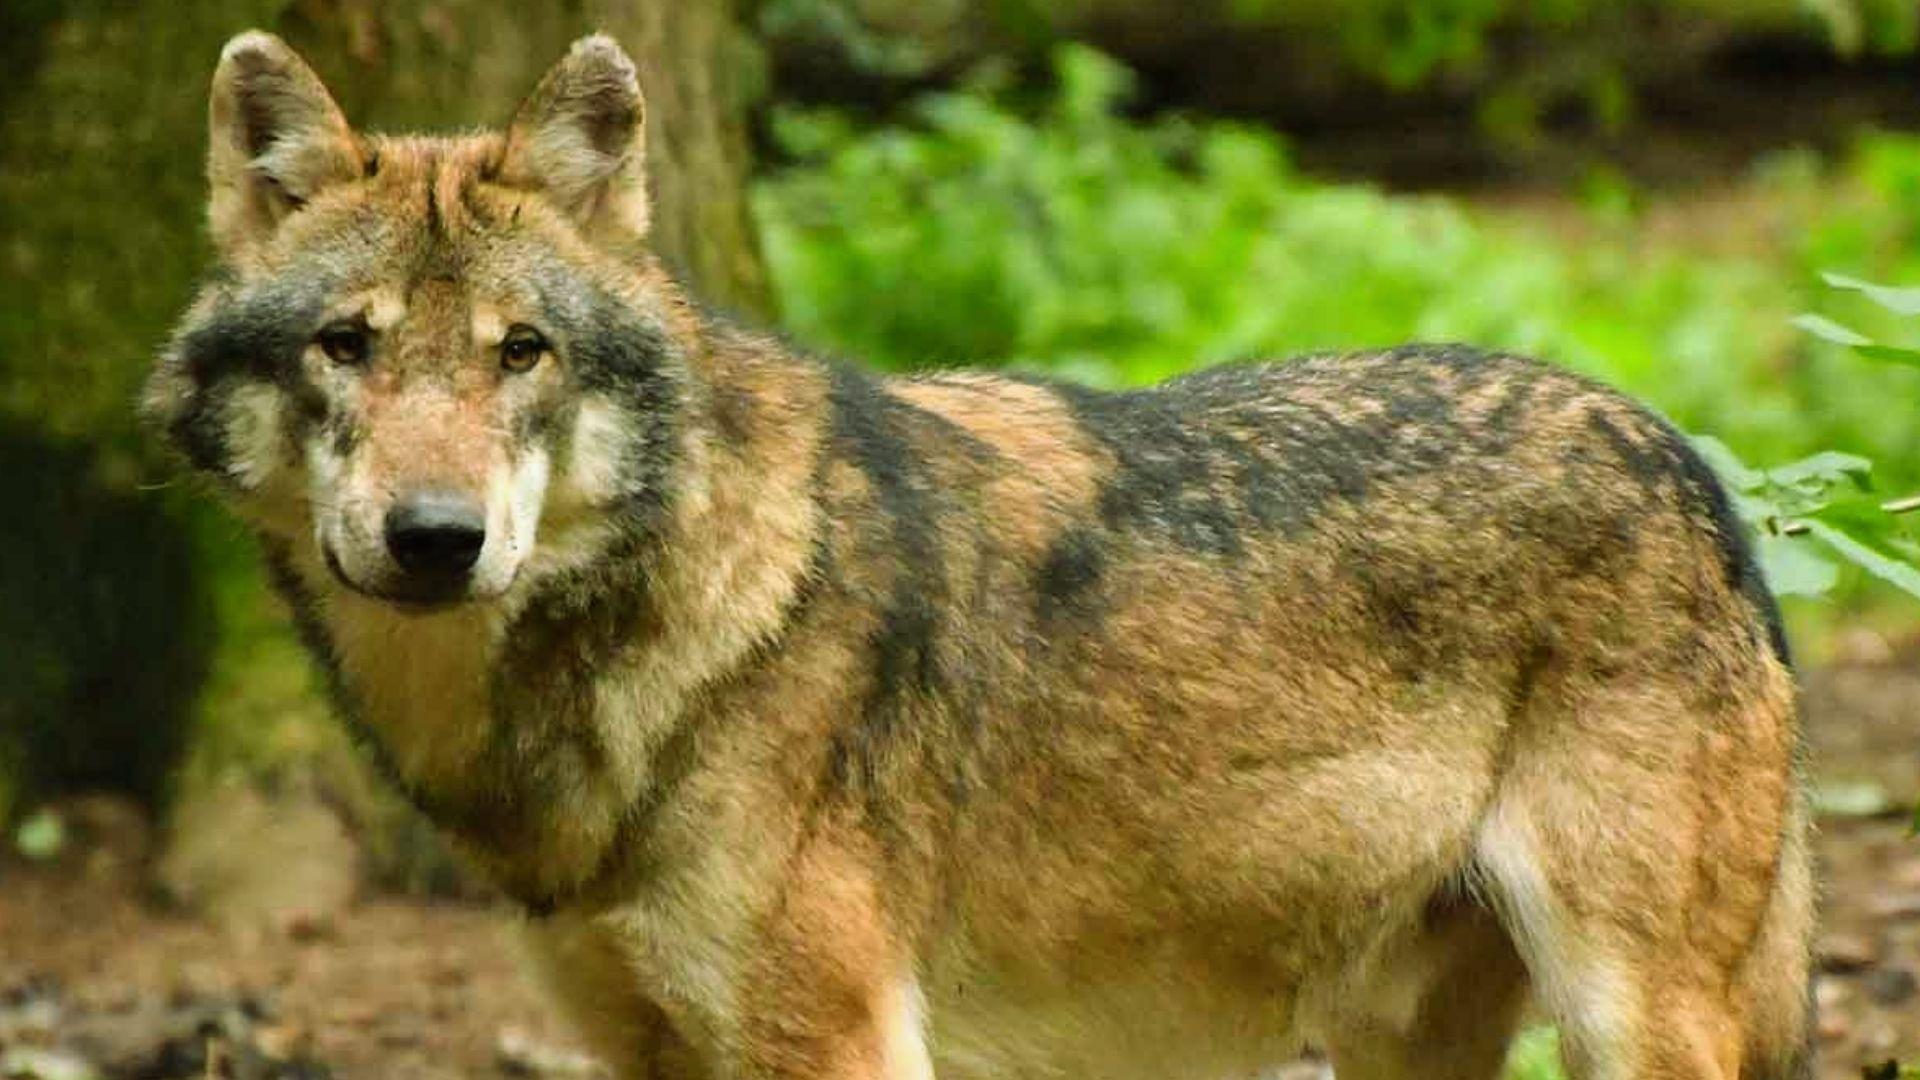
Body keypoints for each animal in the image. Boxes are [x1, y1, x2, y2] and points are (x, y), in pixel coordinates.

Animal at [147, 30, 1813, 1080]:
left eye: (521, 351)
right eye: (347, 345)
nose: (435, 542)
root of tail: (1689, 466)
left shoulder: (834, 1040)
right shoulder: (645, 1044)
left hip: (1636, 1020)